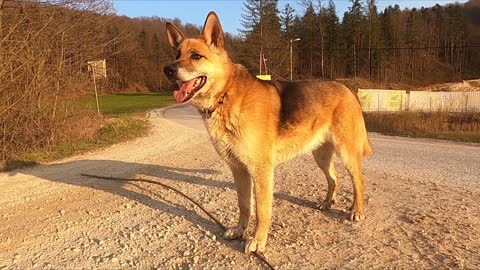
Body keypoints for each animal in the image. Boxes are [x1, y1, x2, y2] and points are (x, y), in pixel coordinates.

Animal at [163, 11, 374, 254]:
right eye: (177, 55)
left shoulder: (261, 171)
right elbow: (244, 205)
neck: (226, 96)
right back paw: (328, 202)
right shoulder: (239, 169)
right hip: (320, 155)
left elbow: (262, 210)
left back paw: (357, 210)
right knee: (334, 178)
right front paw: (240, 230)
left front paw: (257, 240)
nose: (168, 70)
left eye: (196, 56)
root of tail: (347, 88)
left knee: (358, 180)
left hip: (346, 153)